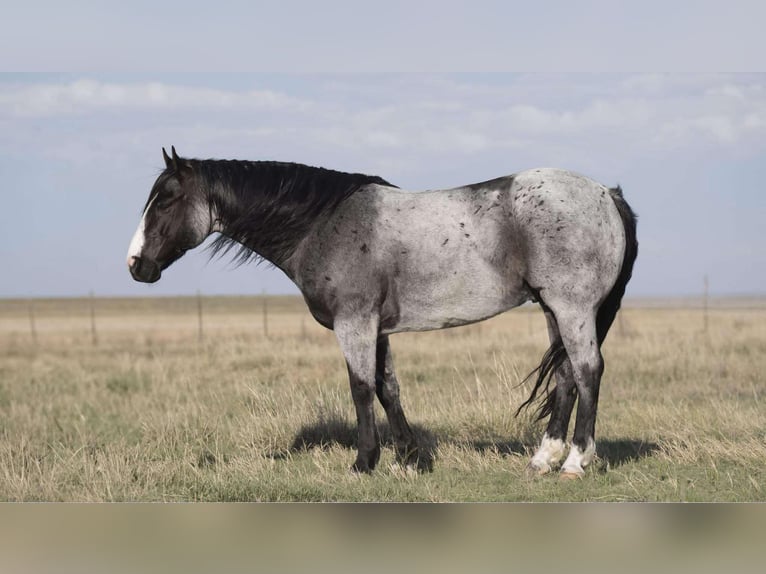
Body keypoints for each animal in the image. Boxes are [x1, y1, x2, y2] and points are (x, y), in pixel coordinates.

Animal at [127, 147, 637, 479]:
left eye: (167, 198)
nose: (136, 265)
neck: (323, 223)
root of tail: (605, 193)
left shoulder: (354, 323)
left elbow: (360, 388)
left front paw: (364, 462)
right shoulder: (377, 328)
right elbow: (388, 387)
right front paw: (410, 458)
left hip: (571, 307)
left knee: (588, 371)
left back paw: (575, 462)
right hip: (553, 309)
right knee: (566, 376)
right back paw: (542, 460)